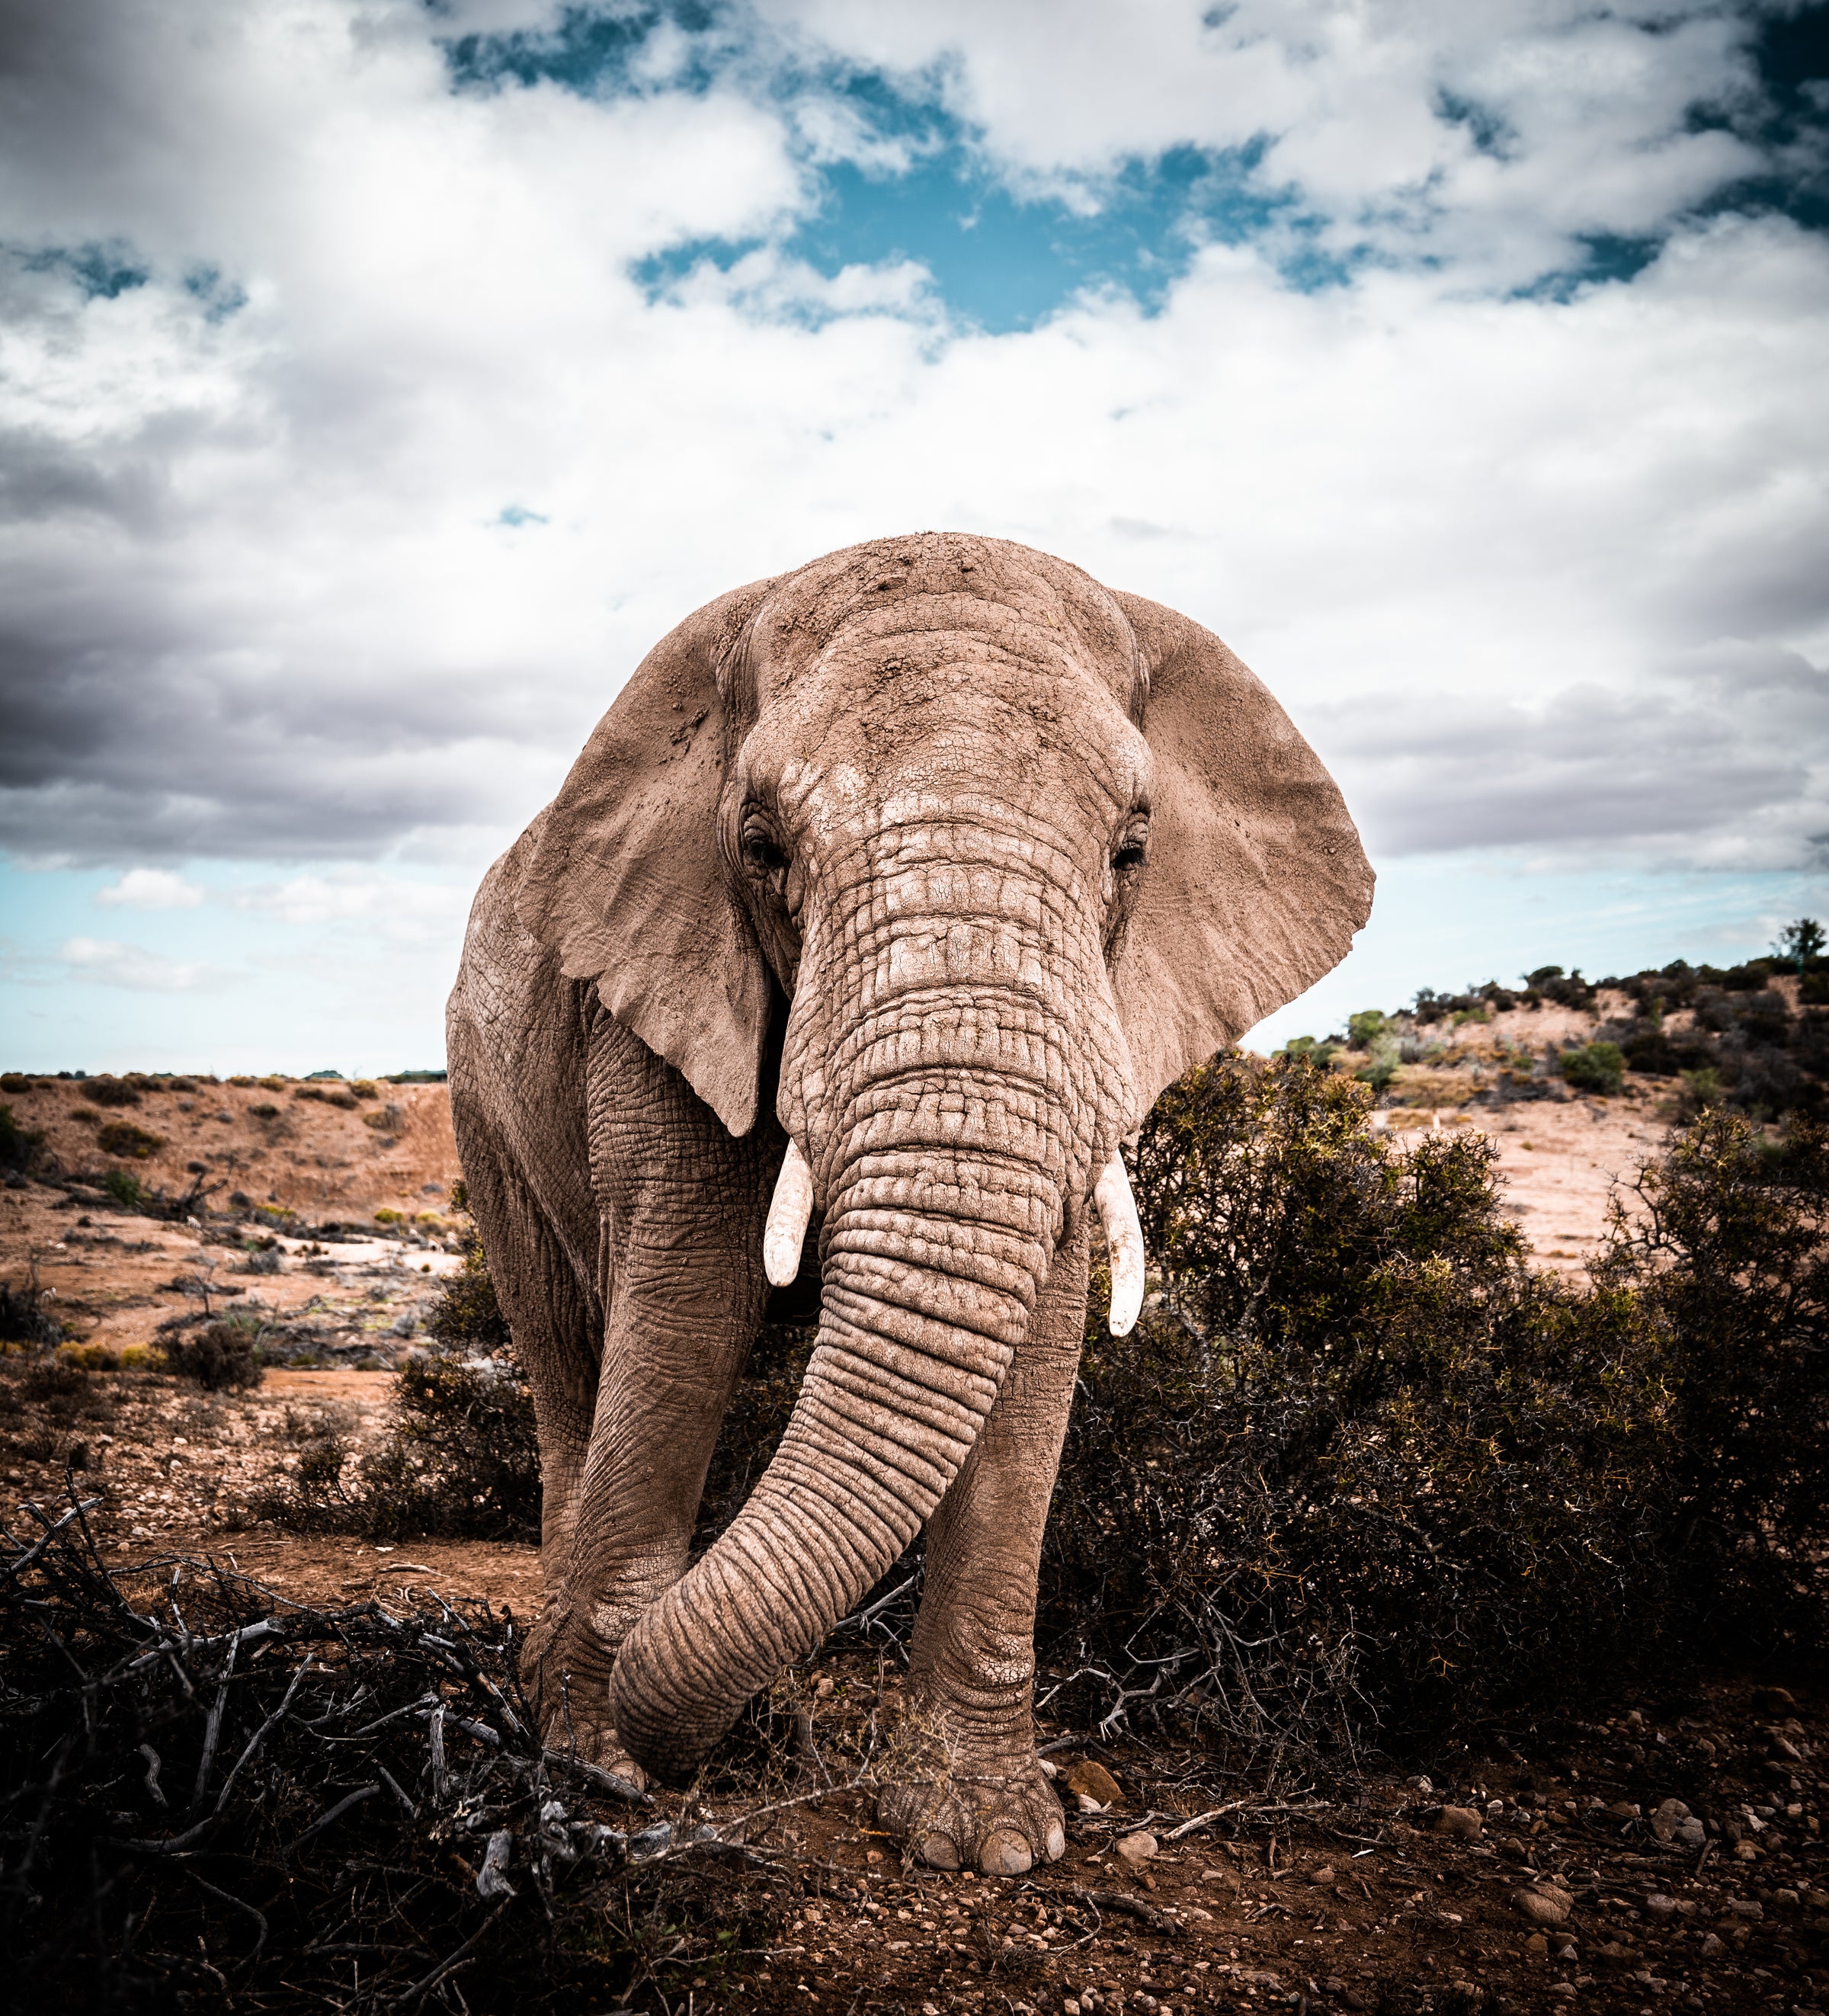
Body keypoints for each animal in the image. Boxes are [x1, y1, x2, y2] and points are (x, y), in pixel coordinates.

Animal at [446, 531, 1371, 1876]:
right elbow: (683, 1314)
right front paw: (601, 1764)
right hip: (482, 1094)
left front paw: (993, 1842)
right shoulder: (655, 1000)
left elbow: (1033, 1353)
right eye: (762, 847)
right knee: (569, 1362)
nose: (673, 1749)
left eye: (1131, 851)